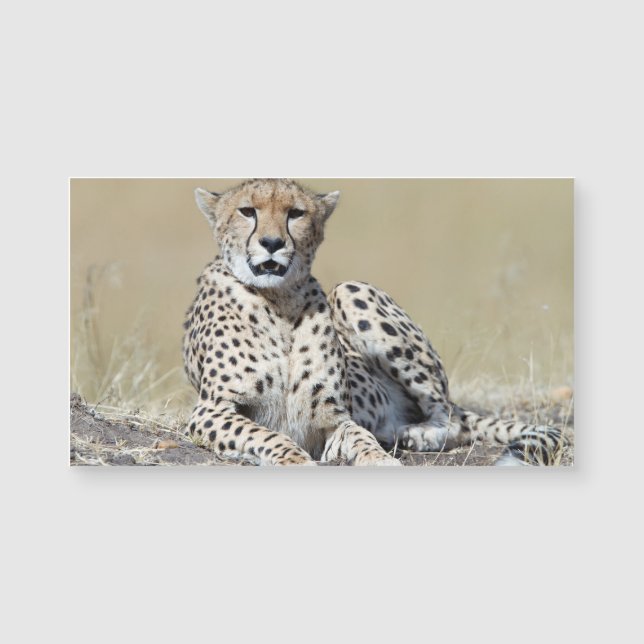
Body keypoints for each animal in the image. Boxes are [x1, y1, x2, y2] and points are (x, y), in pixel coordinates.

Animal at [182, 178, 568, 466]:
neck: (278, 301)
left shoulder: (335, 419)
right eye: (247, 211)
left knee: (450, 416)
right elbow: (264, 433)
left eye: (296, 213)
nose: (272, 242)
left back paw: (419, 434)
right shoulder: (211, 410)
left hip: (351, 289)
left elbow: (359, 435)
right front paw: (293, 458)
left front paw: (379, 458)